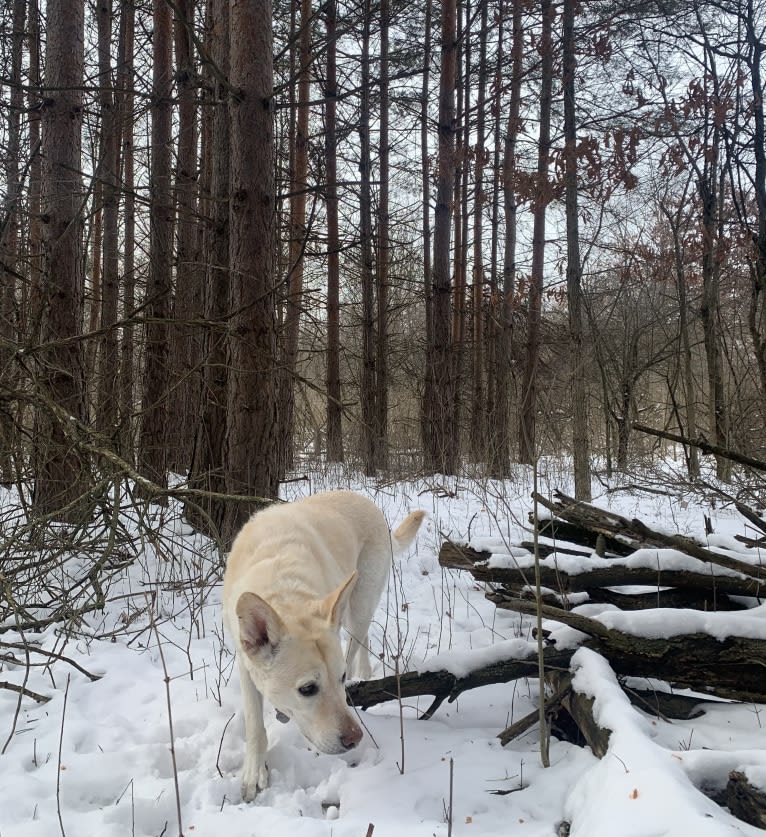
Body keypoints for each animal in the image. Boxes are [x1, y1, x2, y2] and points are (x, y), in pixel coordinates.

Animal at [222, 494, 426, 800]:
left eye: (339, 678)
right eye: (307, 689)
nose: (355, 738)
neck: (283, 589)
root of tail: (366, 501)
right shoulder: (245, 662)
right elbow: (255, 724)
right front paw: (254, 774)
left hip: (360, 601)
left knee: (357, 639)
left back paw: (361, 676)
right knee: (363, 637)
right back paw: (364, 673)